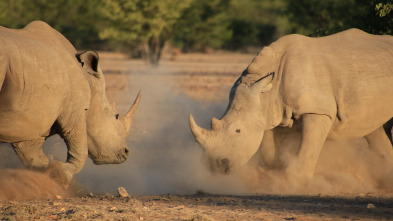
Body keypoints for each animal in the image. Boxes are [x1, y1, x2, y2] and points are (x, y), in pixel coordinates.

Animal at [0, 20, 141, 187]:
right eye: (115, 115)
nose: (126, 152)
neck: (89, 81)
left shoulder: (29, 122)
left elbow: (33, 158)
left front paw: (48, 180)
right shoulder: (74, 110)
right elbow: (80, 148)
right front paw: (60, 175)